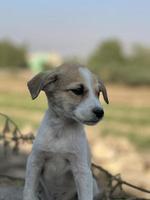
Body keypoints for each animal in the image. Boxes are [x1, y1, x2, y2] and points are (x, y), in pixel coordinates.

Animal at [22, 63, 108, 200]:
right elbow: (29, 191)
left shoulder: (82, 169)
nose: (100, 112)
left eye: (98, 93)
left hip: (93, 182)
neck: (61, 130)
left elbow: (85, 195)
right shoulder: (35, 161)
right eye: (77, 90)